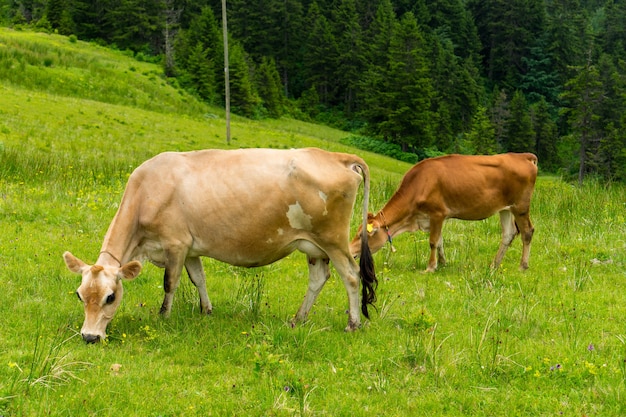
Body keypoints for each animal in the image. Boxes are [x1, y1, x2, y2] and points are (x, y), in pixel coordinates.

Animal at [63, 146, 376, 342]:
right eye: (79, 295)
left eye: (110, 297)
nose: (89, 337)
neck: (147, 191)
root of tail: (336, 156)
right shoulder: (190, 247)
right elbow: (198, 278)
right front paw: (206, 310)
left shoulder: (176, 244)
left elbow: (170, 283)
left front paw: (164, 316)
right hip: (313, 246)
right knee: (319, 278)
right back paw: (298, 319)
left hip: (334, 241)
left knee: (351, 276)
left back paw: (353, 324)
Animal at [346, 153, 536, 272]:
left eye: (362, 236)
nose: (350, 251)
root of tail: (523, 156)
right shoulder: (432, 218)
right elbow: (440, 242)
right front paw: (443, 263)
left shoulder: (438, 213)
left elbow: (432, 241)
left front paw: (430, 267)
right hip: (506, 209)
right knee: (509, 233)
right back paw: (494, 265)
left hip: (520, 206)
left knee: (527, 231)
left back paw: (523, 266)